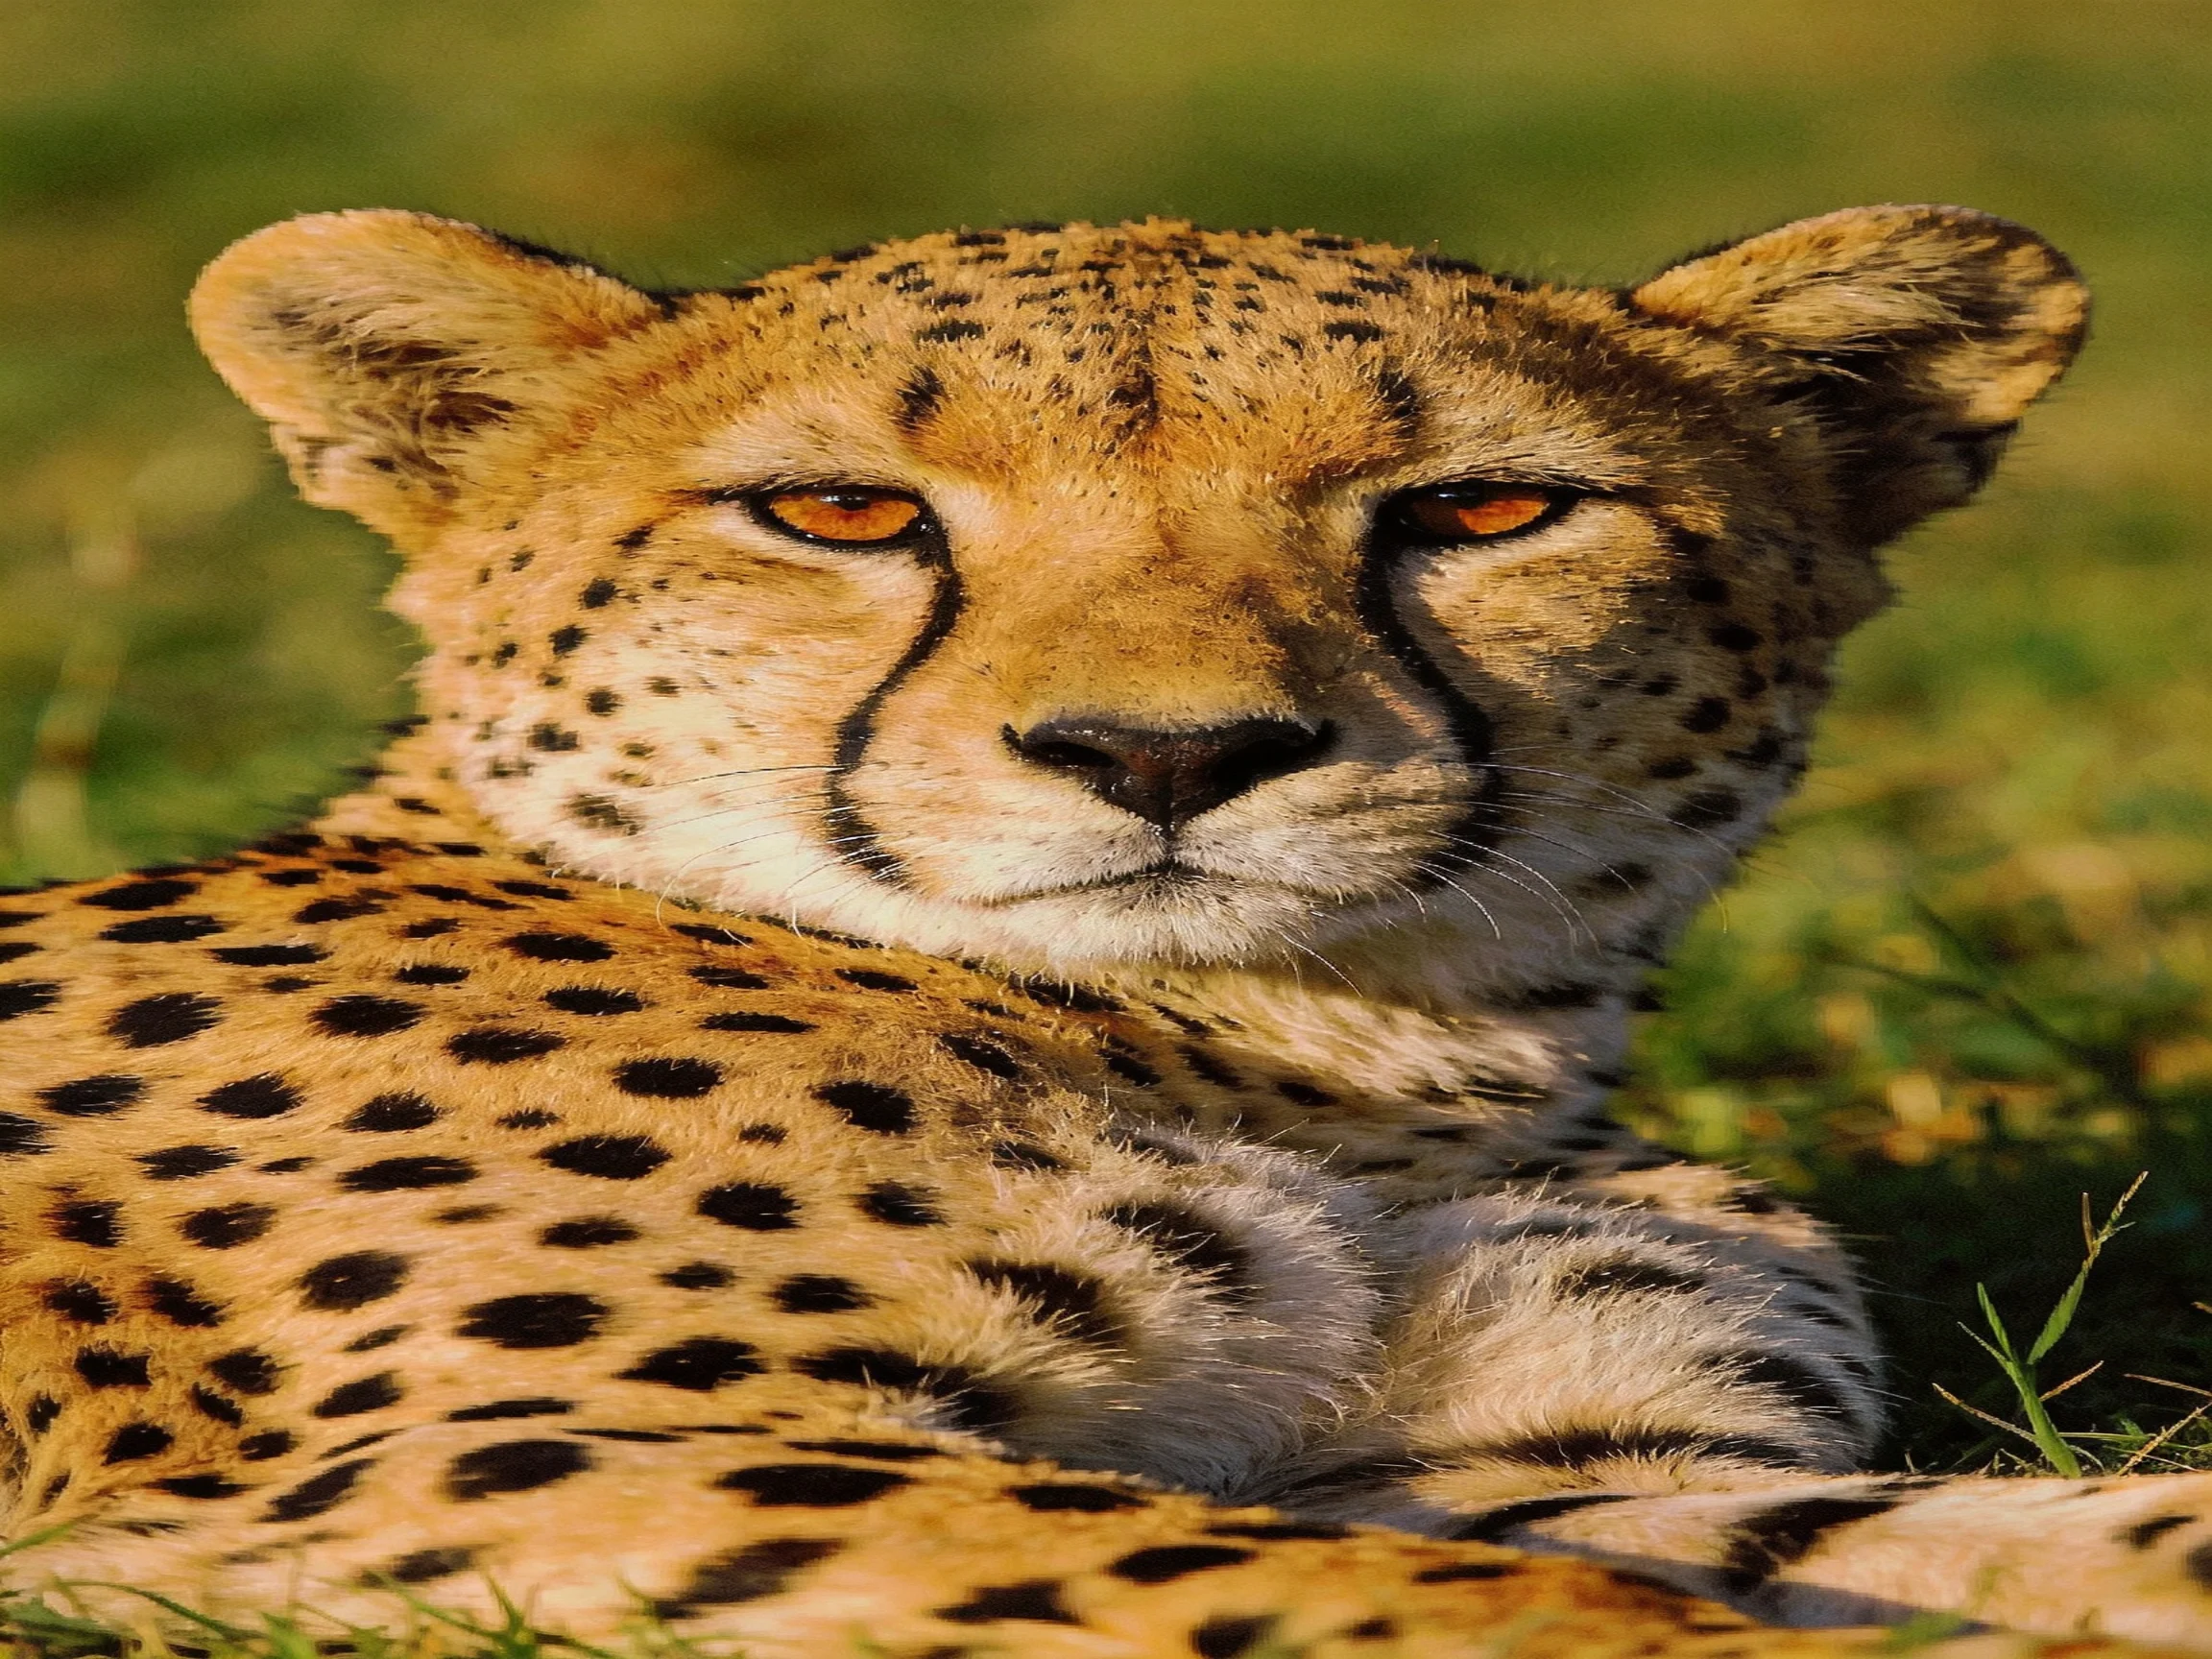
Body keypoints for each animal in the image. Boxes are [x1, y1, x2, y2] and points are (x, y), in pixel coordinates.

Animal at [1, 200, 2208, 1658]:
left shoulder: (1505, 1449)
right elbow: (1469, 1606)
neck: (1333, 1064)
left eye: (1483, 512)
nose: (1167, 752)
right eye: (838, 513)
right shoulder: (455, 1462)